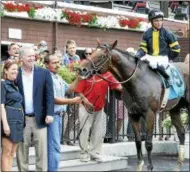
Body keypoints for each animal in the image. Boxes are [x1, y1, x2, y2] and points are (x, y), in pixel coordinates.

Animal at [78, 39, 189, 171]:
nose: (82, 69)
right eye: (93, 52)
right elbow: (138, 141)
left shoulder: (150, 114)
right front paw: (139, 165)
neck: (138, 81)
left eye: (102, 56)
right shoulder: (133, 114)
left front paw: (150, 167)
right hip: (174, 108)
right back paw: (178, 165)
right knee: (181, 132)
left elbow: (148, 143)